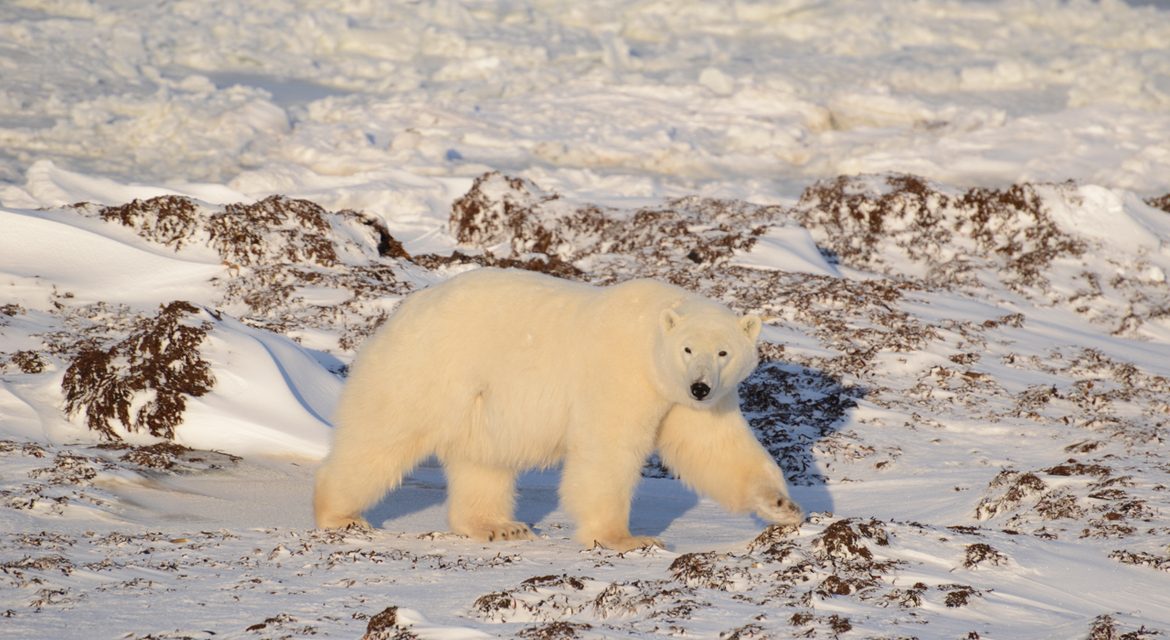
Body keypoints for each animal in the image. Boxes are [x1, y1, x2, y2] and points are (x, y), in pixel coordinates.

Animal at [314, 267, 802, 551]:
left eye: (723, 352)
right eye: (687, 349)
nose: (700, 386)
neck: (650, 336)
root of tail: (405, 309)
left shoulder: (682, 399)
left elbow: (716, 448)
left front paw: (783, 505)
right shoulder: (623, 374)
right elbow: (608, 452)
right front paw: (624, 538)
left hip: (480, 404)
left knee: (483, 463)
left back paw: (499, 525)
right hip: (425, 371)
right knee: (380, 438)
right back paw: (339, 512)